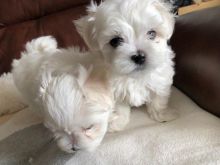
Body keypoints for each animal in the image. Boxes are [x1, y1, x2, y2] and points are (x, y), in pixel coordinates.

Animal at [75, 0, 178, 131]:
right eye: (115, 41)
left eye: (152, 33)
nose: (139, 56)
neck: (135, 77)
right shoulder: (115, 90)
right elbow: (120, 107)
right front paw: (118, 121)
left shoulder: (160, 82)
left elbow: (158, 100)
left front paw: (163, 115)